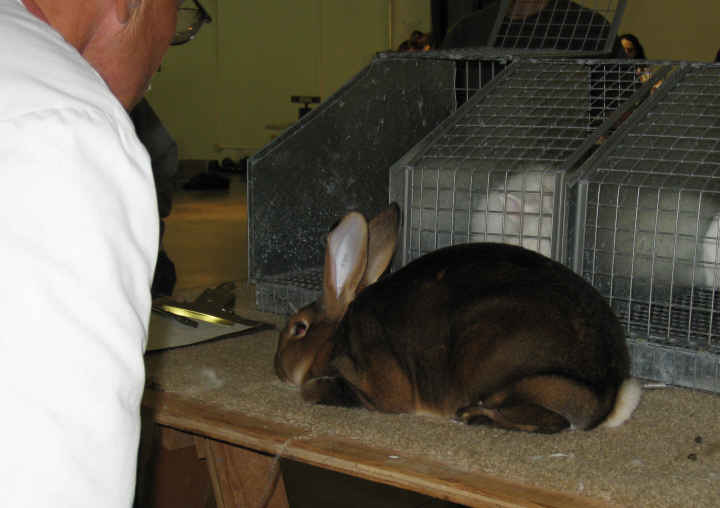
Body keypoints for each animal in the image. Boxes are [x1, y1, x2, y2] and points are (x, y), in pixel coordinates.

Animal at [276, 202, 640, 432]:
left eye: (298, 328)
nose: (277, 368)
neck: (333, 339)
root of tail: (608, 391)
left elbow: (321, 391)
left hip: (496, 365)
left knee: (551, 421)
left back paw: (471, 416)